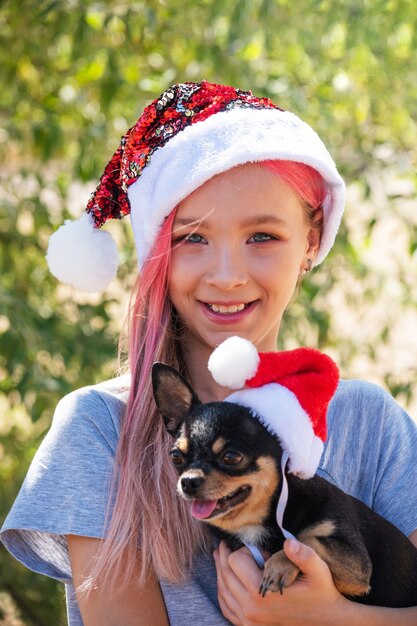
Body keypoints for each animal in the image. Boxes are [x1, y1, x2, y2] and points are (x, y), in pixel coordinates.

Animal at [151, 360, 416, 604]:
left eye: (231, 457)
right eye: (176, 457)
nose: (188, 481)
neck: (256, 520)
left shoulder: (358, 567)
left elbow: (304, 539)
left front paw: (280, 564)